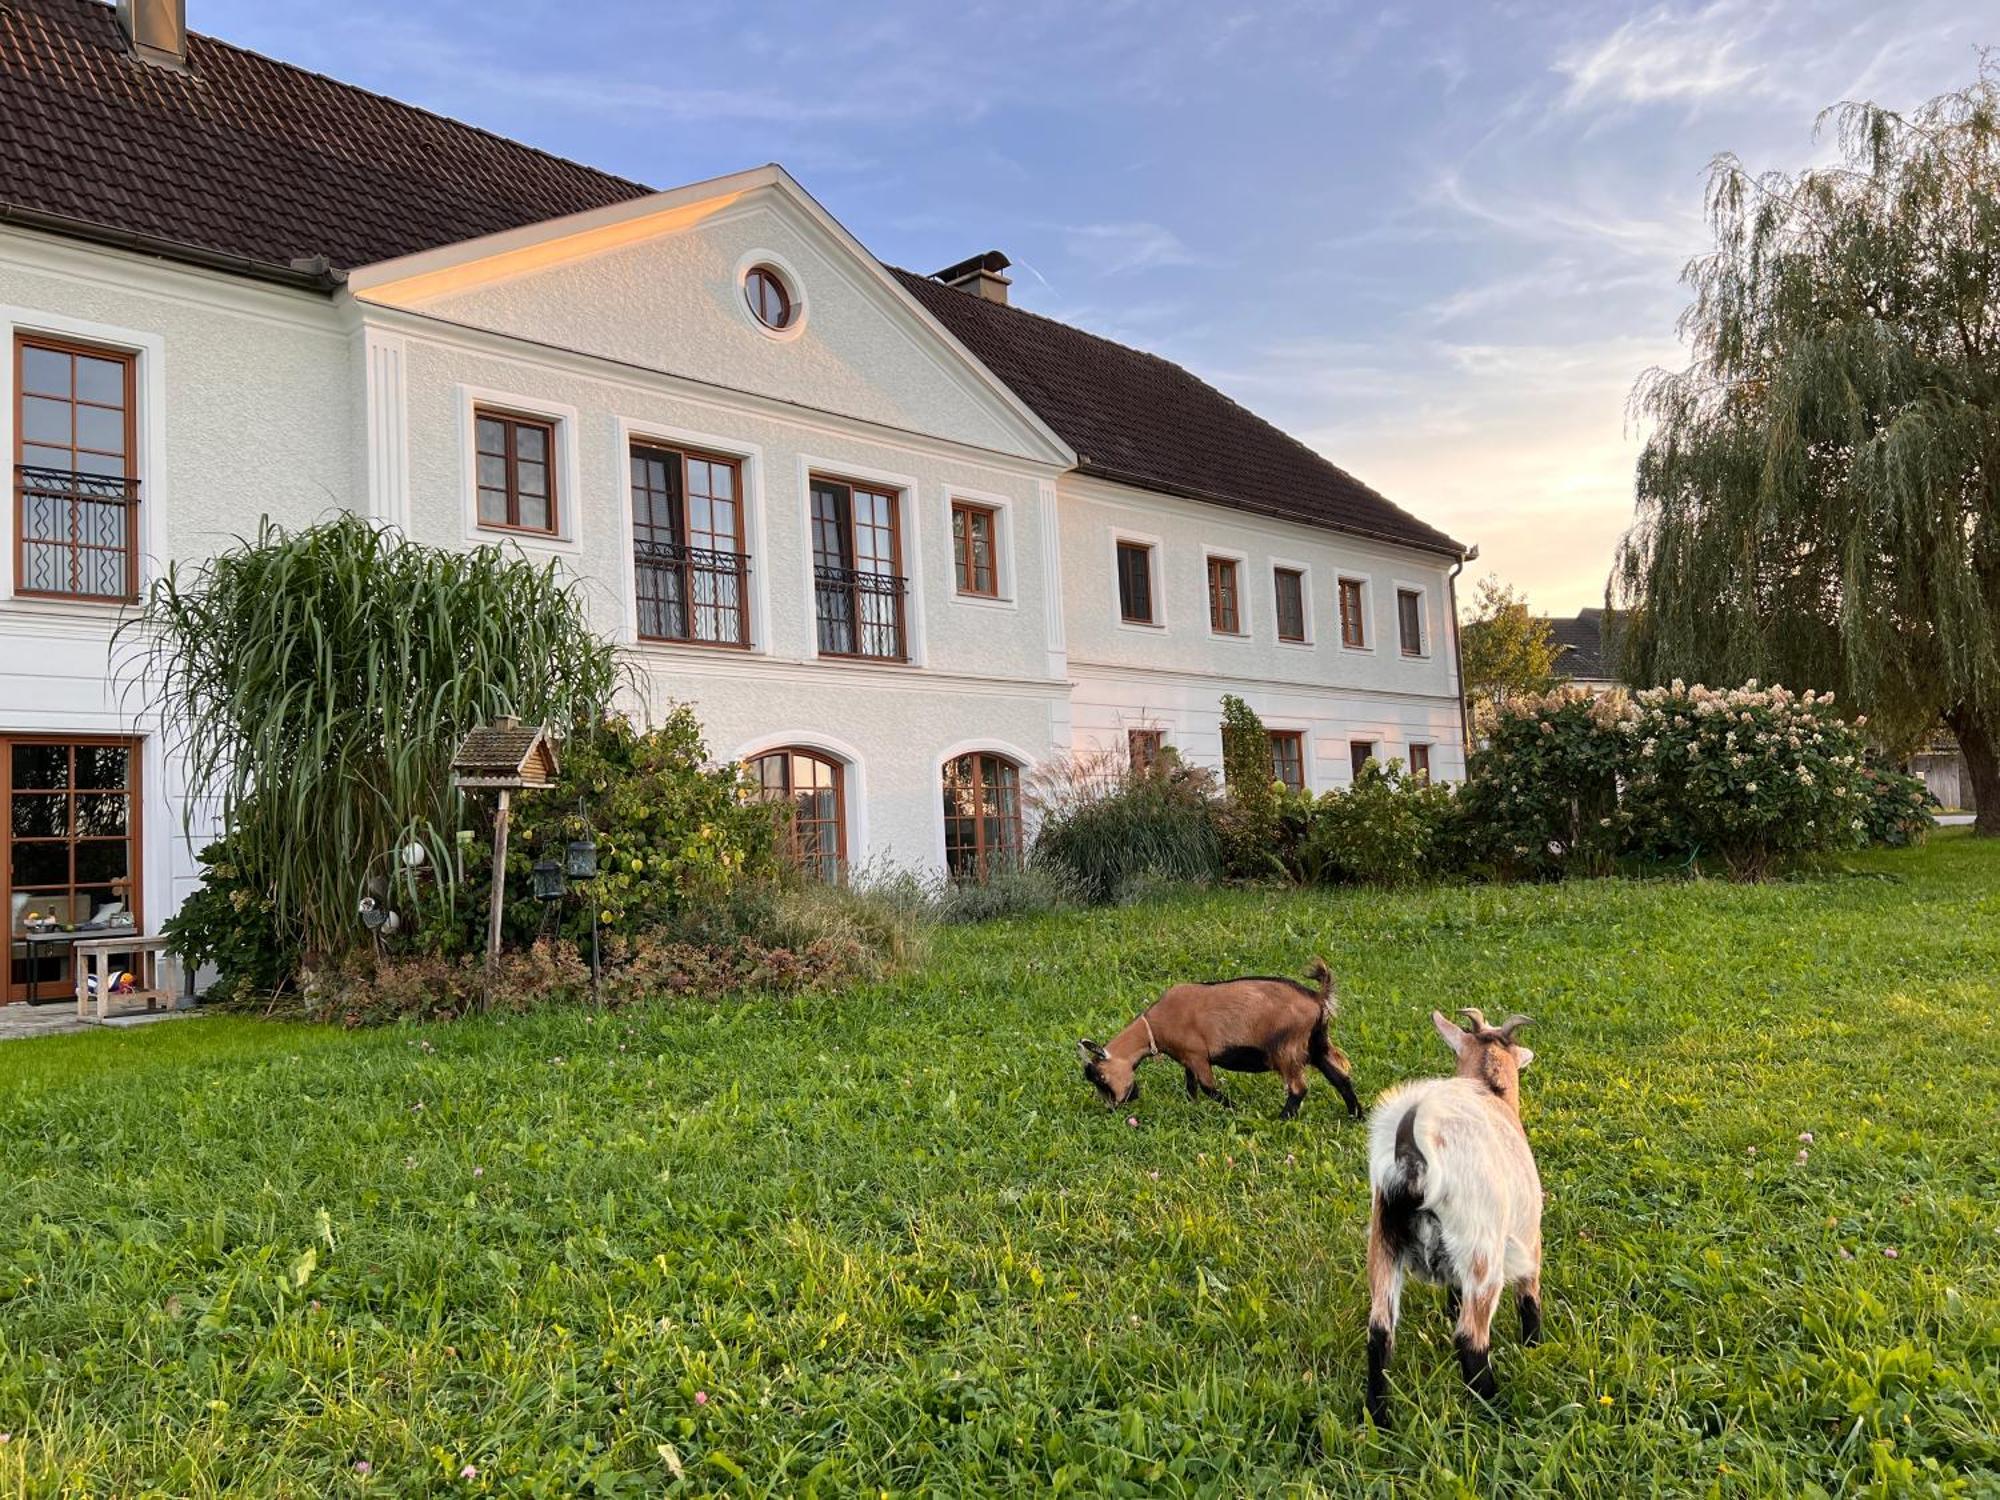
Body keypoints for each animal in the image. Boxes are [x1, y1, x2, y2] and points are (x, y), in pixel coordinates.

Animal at [1080, 956, 1360, 1120]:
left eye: (1101, 1077)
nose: (1113, 1108)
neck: (1157, 1023)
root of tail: (1318, 998)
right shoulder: (1188, 1059)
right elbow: (1191, 1086)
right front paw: (1191, 1107)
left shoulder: (1197, 1055)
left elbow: (1208, 1088)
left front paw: (1235, 1110)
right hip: (1315, 1045)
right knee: (1341, 1079)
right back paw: (1355, 1115)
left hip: (1286, 1048)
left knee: (1298, 1088)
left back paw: (1281, 1119)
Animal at [1368, 1016, 1536, 1424]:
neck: (1492, 1093)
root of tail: (1416, 1162)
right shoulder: (1529, 1234)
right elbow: (1529, 1298)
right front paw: (1534, 1346)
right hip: (1483, 1253)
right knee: (1471, 1338)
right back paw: (1494, 1410)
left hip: (1383, 1243)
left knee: (1379, 1332)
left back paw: (1379, 1420)